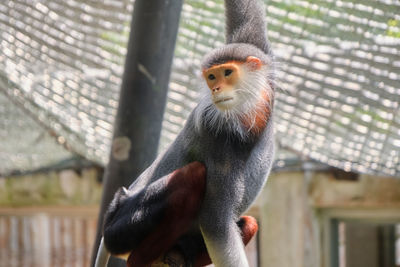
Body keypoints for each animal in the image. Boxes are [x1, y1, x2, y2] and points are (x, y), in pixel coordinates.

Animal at [95, 0, 274, 266]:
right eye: (211, 77)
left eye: (227, 73)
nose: (216, 89)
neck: (248, 119)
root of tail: (117, 202)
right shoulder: (215, 134)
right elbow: (216, 223)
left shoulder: (262, 61)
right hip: (121, 228)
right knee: (193, 175)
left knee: (250, 223)